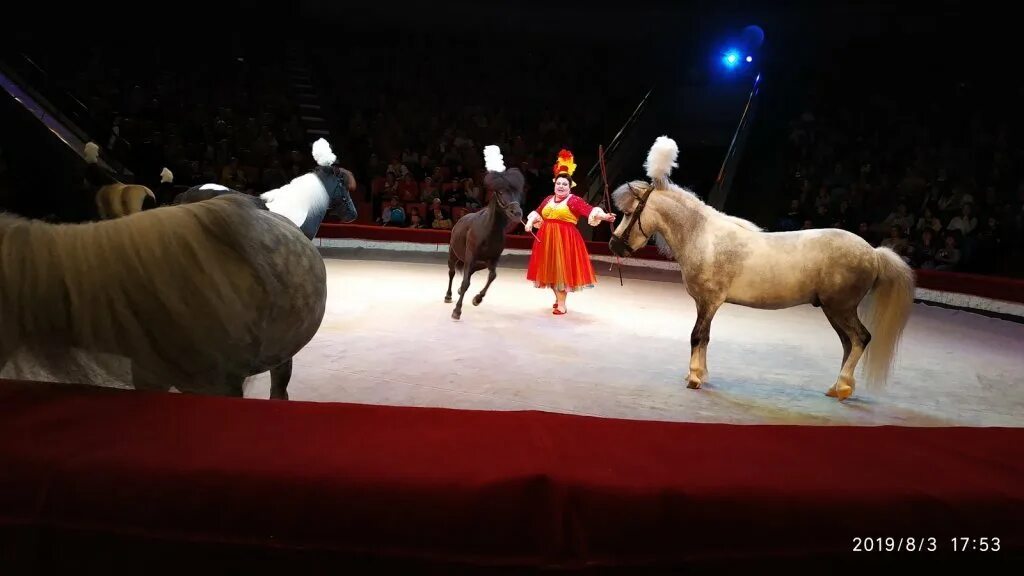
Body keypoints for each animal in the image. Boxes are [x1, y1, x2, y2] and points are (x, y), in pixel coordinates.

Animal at [446, 144, 524, 317]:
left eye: (517, 192)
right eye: (501, 192)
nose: (517, 213)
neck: (489, 231)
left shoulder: (493, 259)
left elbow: (492, 276)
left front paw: (477, 299)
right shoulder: (471, 256)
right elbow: (466, 281)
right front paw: (457, 311)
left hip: (479, 263)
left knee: (470, 273)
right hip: (454, 255)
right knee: (452, 272)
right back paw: (448, 296)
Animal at [606, 138, 913, 399]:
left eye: (629, 212)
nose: (613, 245)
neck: (705, 238)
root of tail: (873, 252)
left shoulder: (709, 302)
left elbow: (696, 336)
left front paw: (694, 378)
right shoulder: (705, 304)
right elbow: (705, 338)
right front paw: (701, 374)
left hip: (841, 308)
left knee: (860, 339)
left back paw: (843, 387)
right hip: (834, 310)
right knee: (849, 344)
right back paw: (837, 387)